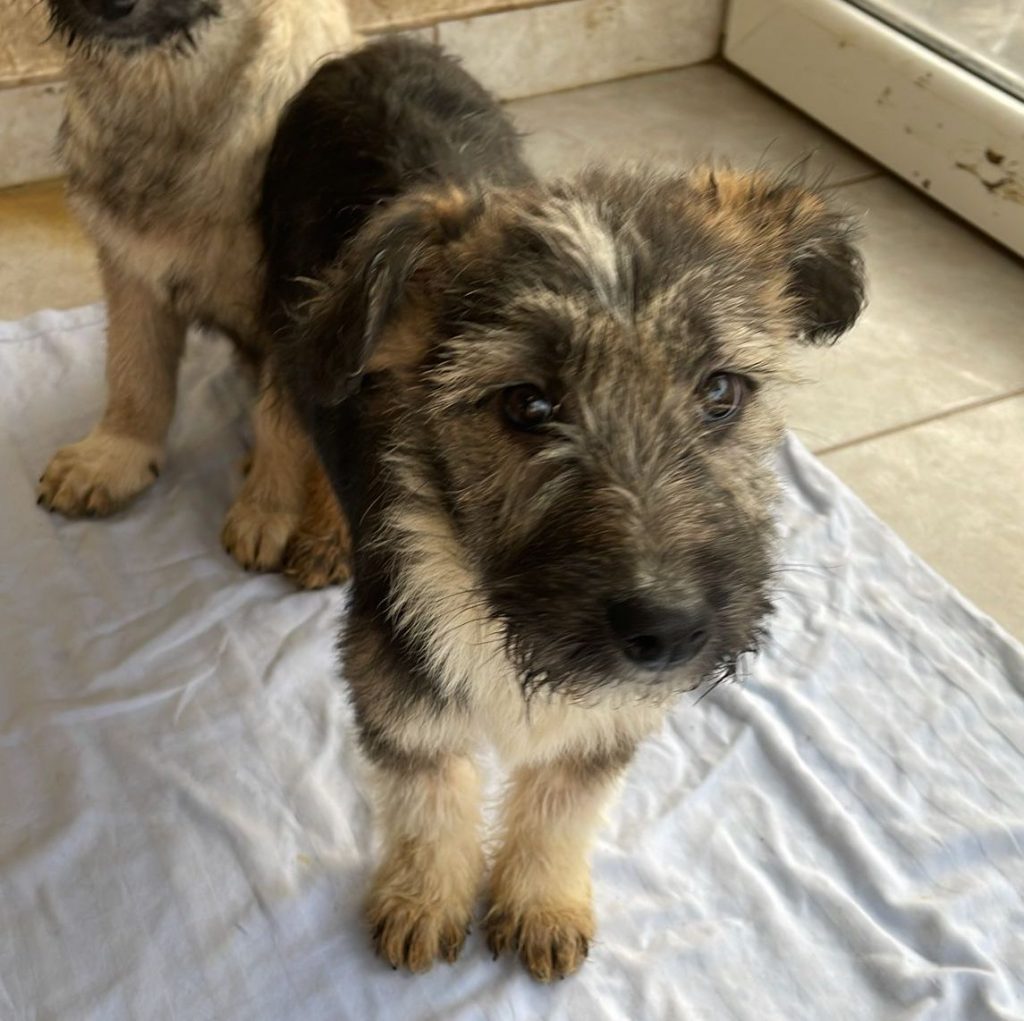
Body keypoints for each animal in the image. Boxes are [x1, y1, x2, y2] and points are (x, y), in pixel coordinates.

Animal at [35, 0, 355, 588]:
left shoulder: (292, 298)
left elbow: (282, 420)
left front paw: (274, 508)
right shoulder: (131, 266)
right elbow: (134, 371)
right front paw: (115, 456)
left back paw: (330, 534)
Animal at [263, 37, 866, 980]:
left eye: (721, 391)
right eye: (528, 405)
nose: (667, 629)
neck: (502, 617)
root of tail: (379, 44)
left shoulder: (608, 712)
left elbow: (563, 803)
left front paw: (540, 904)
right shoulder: (398, 682)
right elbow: (431, 798)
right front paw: (423, 902)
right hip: (283, 301)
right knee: (279, 399)